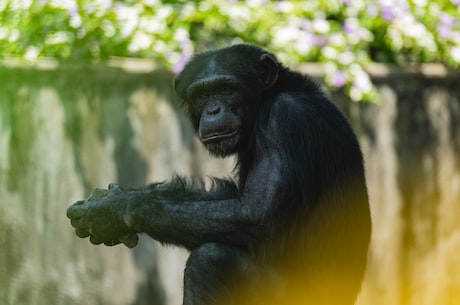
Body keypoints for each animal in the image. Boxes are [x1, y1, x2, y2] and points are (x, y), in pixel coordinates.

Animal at [66, 43, 372, 304]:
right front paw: (112, 200)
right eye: (203, 94)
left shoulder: (285, 121)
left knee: (211, 259)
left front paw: (113, 209)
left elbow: (256, 213)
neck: (268, 99)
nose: (213, 109)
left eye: (226, 89)